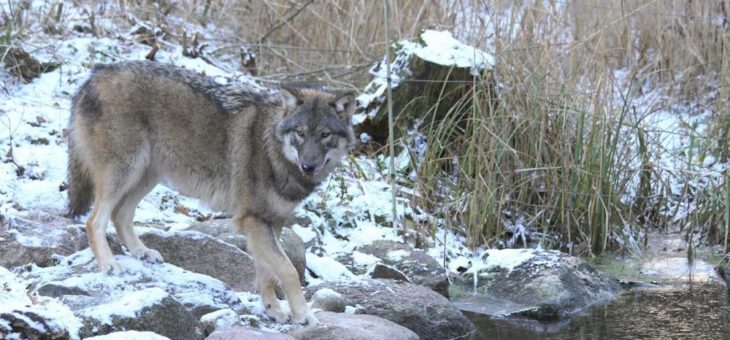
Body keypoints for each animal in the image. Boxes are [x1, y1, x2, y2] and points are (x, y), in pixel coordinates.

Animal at [65, 61, 356, 324]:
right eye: (300, 133)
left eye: (325, 134)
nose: (309, 166)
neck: (273, 150)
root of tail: (95, 74)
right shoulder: (254, 220)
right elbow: (288, 270)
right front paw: (304, 315)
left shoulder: (271, 222)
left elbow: (267, 273)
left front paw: (273, 310)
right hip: (125, 172)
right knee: (94, 220)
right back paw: (108, 264)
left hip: (147, 175)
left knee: (120, 214)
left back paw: (141, 251)